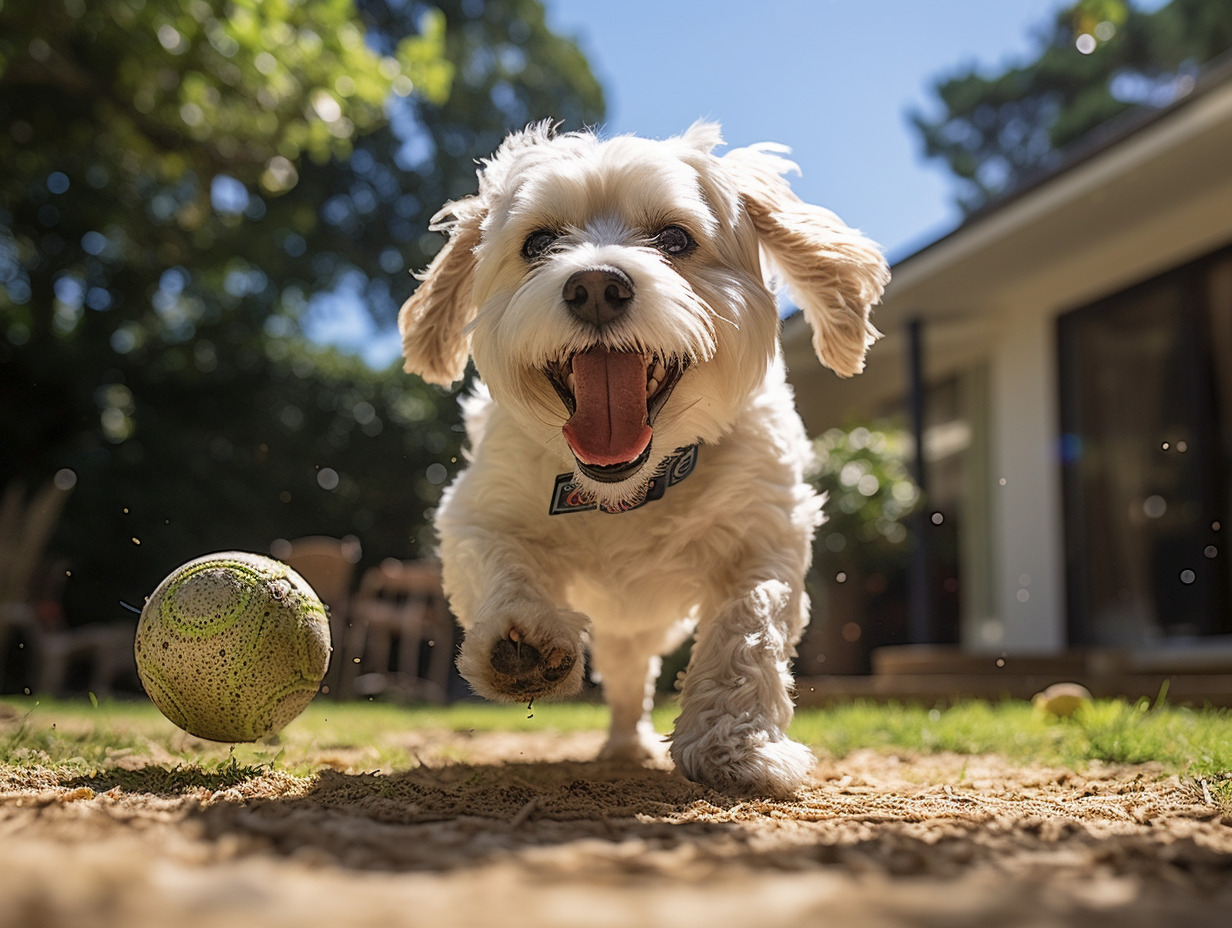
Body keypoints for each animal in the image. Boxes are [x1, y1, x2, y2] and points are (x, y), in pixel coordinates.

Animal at [399, 119, 891, 793]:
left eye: (675, 238)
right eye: (539, 242)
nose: (596, 285)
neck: (625, 490)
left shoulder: (766, 532)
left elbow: (749, 625)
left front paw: (736, 744)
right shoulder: (477, 512)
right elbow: (502, 564)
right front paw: (520, 641)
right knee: (626, 683)